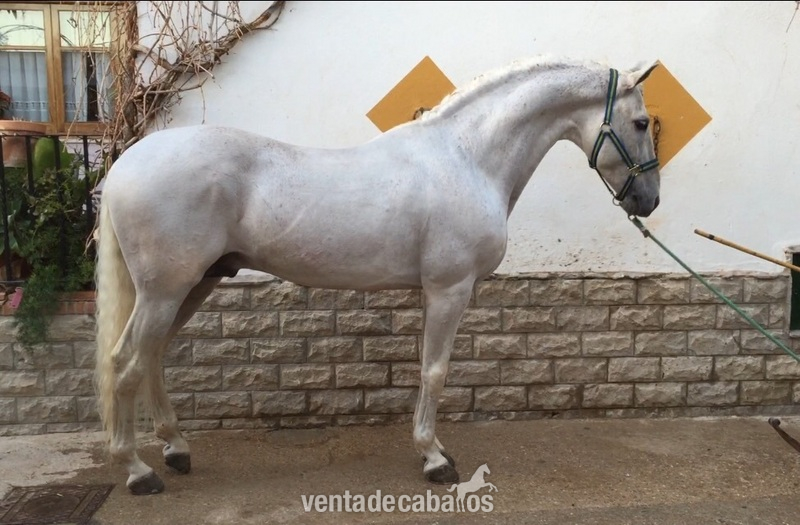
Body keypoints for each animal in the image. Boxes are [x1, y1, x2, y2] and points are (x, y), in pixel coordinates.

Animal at [94, 55, 661, 495]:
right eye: (640, 123)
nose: (648, 201)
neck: (467, 158)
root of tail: (125, 163)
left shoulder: (434, 292)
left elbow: (425, 368)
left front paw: (430, 448)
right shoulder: (450, 289)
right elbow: (435, 371)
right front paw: (435, 460)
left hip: (193, 284)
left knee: (153, 357)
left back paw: (176, 449)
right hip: (165, 291)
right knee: (125, 363)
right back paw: (139, 471)